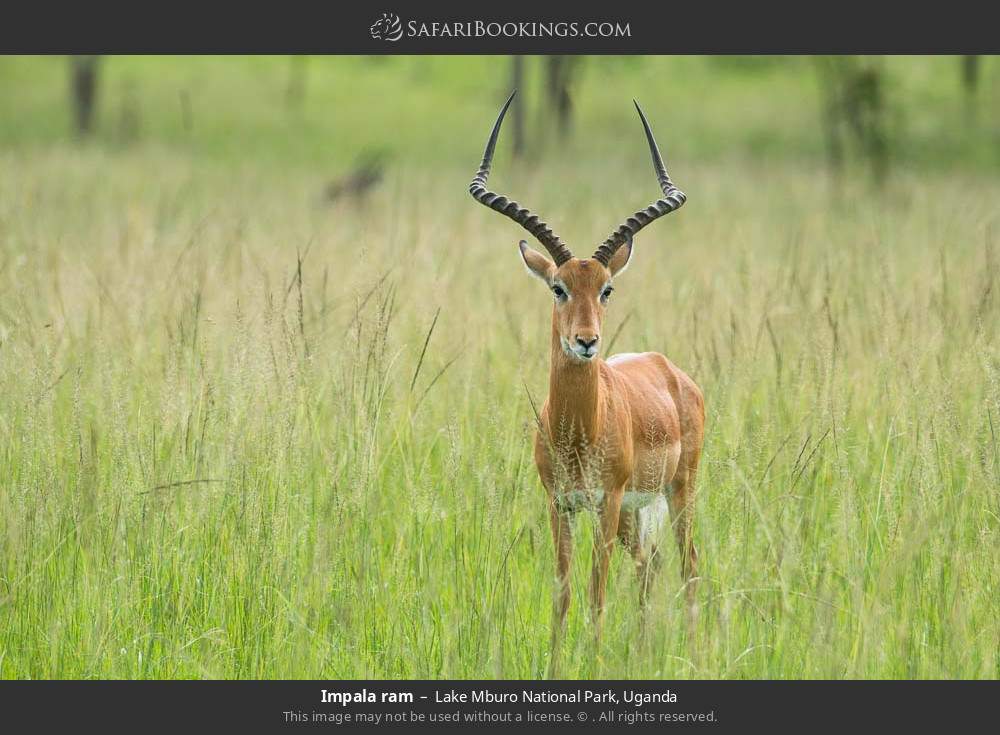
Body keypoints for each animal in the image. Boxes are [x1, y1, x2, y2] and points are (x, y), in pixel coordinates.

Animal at [466, 90, 704, 644]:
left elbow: (595, 598)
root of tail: (670, 370)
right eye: (559, 287)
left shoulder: (605, 500)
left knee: (688, 568)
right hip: (635, 515)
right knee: (648, 565)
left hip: (677, 492)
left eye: (606, 289)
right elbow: (563, 595)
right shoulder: (560, 504)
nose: (587, 341)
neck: (578, 428)